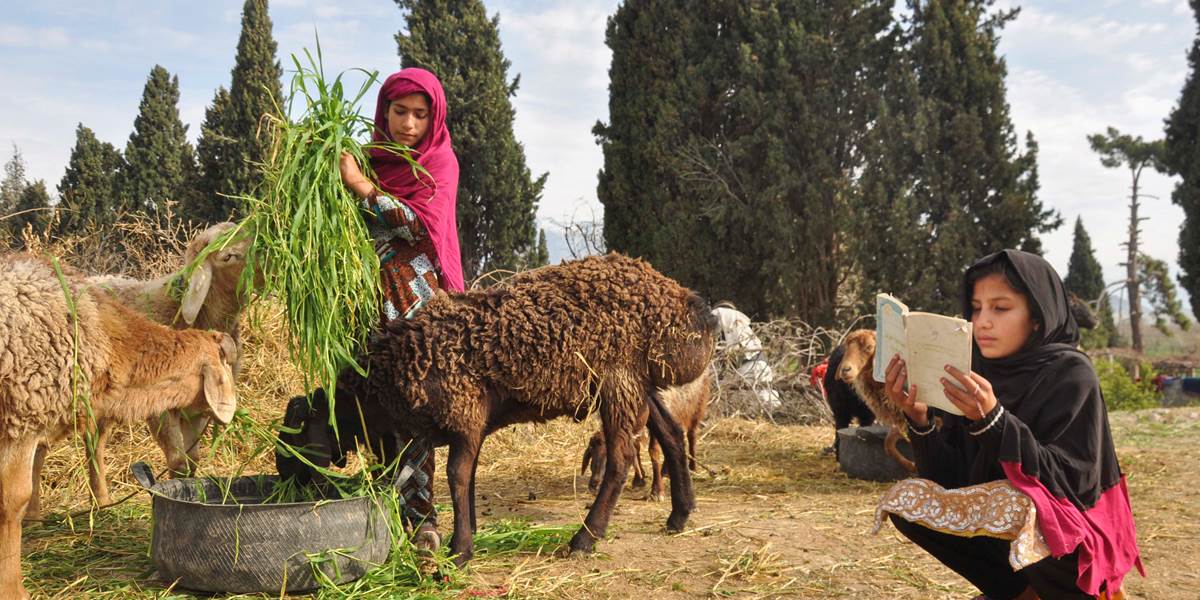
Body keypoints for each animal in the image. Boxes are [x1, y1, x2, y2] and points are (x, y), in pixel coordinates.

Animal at [276, 253, 715, 566]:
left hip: (617, 380)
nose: (288, 489)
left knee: (621, 458)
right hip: (640, 385)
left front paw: (460, 550)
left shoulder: (464, 412)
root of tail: (689, 306)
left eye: (295, 441)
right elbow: (467, 478)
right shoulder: (470, 425)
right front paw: (467, 537)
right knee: (672, 434)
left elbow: (456, 476)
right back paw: (679, 515)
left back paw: (585, 538)